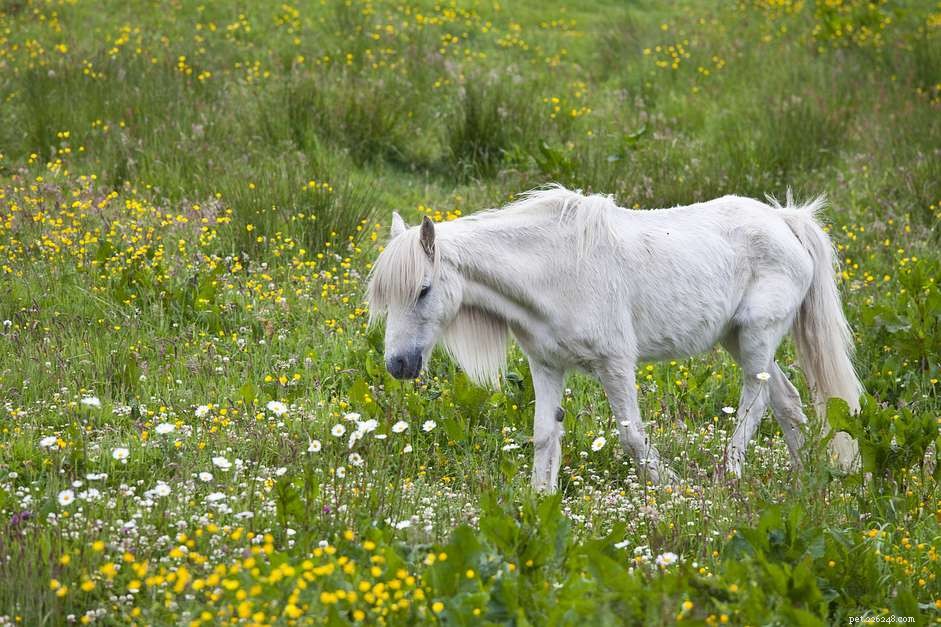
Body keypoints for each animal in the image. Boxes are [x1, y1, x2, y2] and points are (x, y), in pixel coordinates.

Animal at [366, 185, 861, 492]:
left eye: (423, 289)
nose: (398, 365)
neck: (552, 269)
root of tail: (784, 219)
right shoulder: (547, 367)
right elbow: (545, 436)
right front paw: (538, 501)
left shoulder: (615, 365)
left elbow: (632, 437)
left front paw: (672, 488)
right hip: (737, 340)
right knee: (788, 401)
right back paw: (805, 479)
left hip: (757, 337)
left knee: (753, 405)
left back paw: (729, 477)